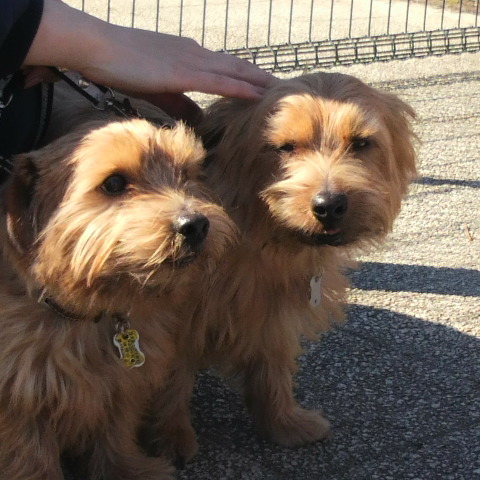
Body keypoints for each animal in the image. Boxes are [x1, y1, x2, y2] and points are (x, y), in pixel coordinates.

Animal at [0, 109, 236, 478]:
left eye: (185, 174)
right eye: (113, 183)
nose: (196, 225)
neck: (84, 315)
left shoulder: (122, 385)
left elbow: (114, 433)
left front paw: (127, 470)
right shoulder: (20, 399)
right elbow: (31, 457)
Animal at [145, 71, 418, 462]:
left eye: (362, 143)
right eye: (284, 146)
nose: (329, 205)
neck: (254, 235)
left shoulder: (274, 311)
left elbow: (272, 366)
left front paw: (282, 423)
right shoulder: (175, 317)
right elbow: (172, 377)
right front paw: (169, 439)